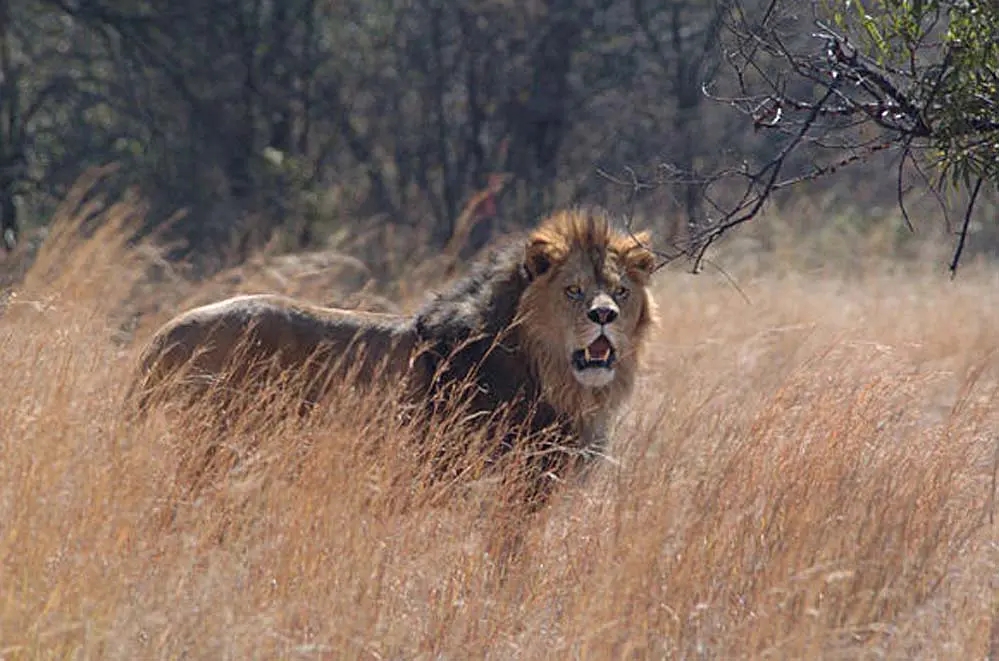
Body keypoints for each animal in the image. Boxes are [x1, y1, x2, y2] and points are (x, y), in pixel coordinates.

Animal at [129, 209, 660, 508]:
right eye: (573, 291)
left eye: (620, 291)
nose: (604, 315)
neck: (550, 374)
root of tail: (163, 336)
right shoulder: (505, 493)